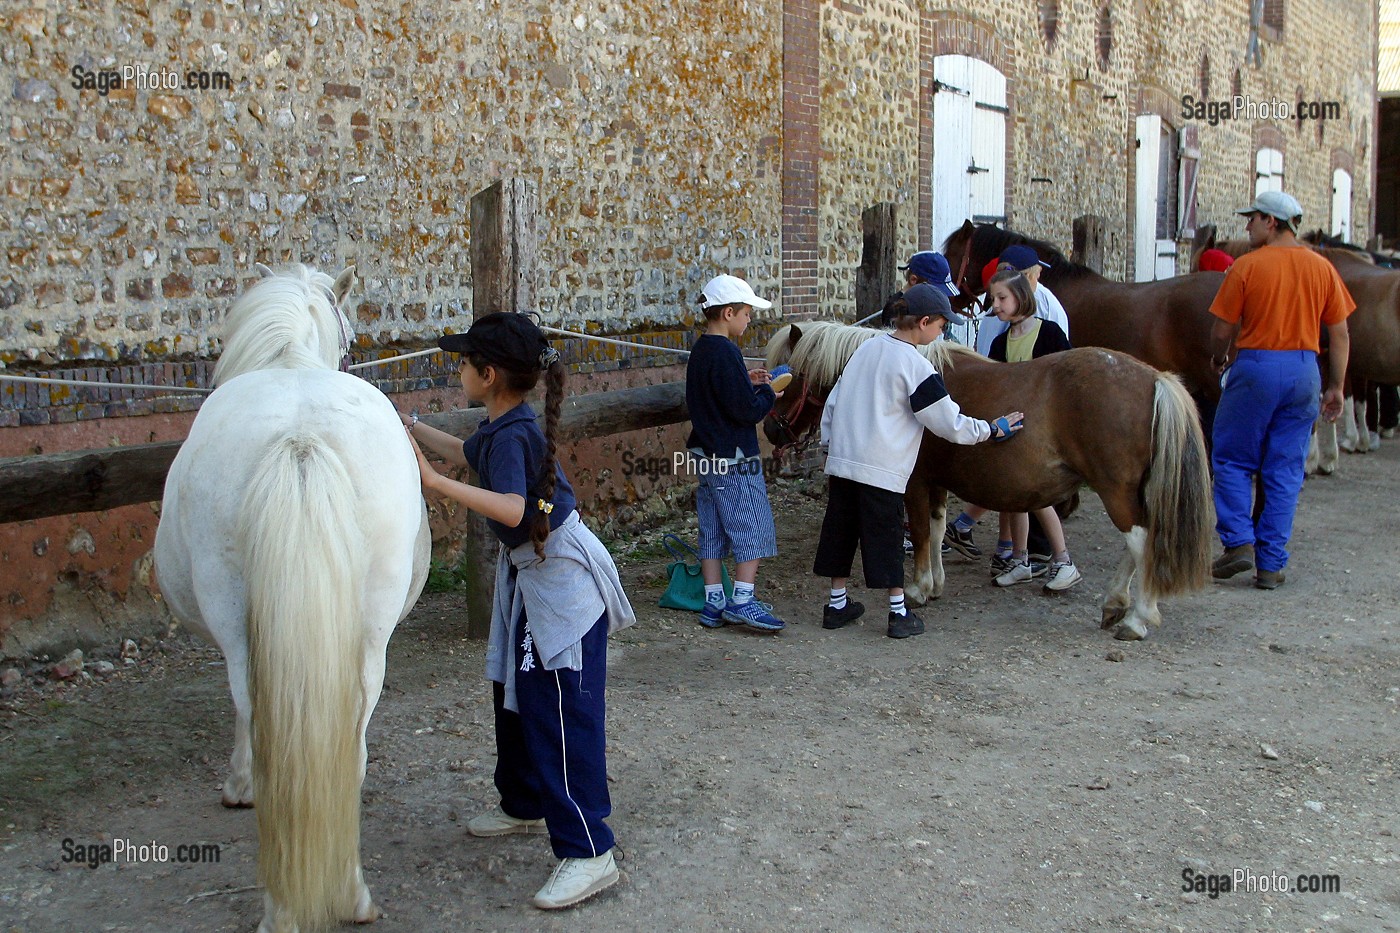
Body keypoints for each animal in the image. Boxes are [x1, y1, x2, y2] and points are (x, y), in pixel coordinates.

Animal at [156, 261, 428, 930]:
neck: (288, 361)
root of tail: (300, 439)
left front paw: (238, 786)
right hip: (367, 641)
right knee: (345, 750)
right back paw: (352, 895)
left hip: (238, 627)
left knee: (260, 719)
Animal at [767, 322, 1215, 638]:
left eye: (792, 376)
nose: (772, 431)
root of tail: (1155, 379)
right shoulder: (938, 483)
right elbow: (937, 528)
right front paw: (935, 584)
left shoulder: (916, 482)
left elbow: (921, 531)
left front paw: (917, 589)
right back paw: (1115, 604)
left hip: (1116, 490)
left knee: (1141, 541)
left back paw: (1136, 618)